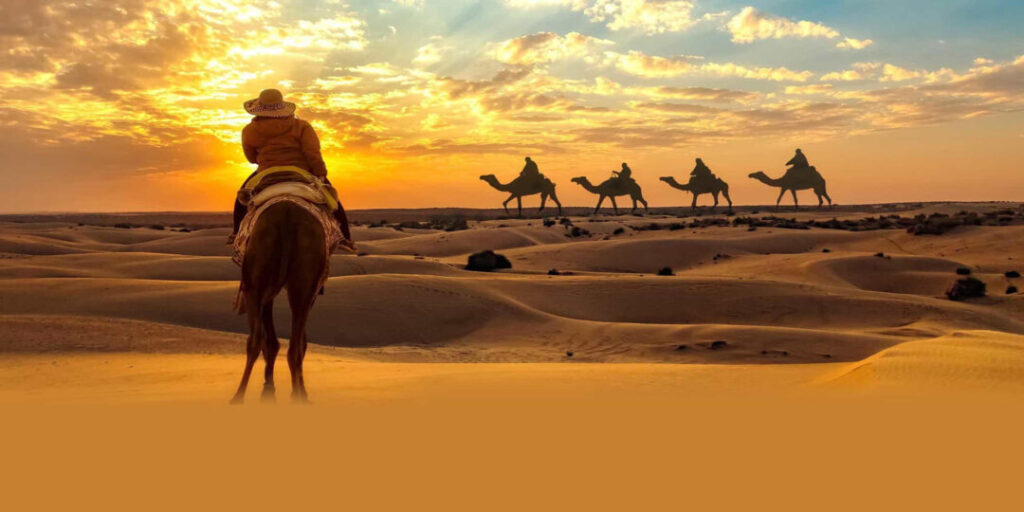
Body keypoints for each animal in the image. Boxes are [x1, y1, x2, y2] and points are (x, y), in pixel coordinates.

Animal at [231, 201, 330, 404]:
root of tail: (286, 215)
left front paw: (269, 388)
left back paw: (239, 396)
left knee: (257, 340)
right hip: (298, 283)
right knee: (292, 346)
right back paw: (296, 395)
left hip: (256, 284)